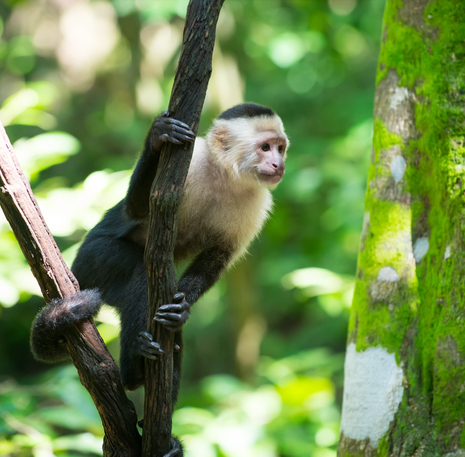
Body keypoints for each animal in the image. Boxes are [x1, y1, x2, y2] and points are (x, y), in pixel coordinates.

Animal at [29, 102, 286, 456]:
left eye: (280, 147)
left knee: (173, 334)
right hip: (93, 260)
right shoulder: (191, 164)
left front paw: (182, 308)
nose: (278, 163)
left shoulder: (258, 203)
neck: (224, 176)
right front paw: (157, 137)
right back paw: (133, 371)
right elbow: (138, 209)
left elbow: (217, 259)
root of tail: (73, 272)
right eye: (265, 147)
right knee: (138, 276)